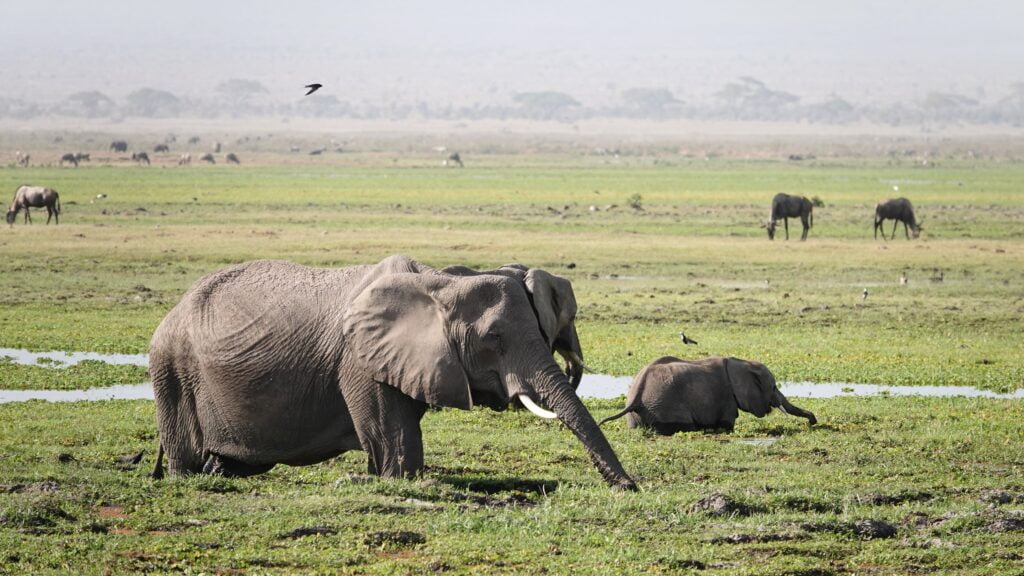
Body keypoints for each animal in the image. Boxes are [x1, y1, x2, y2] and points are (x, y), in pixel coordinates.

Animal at [149, 255, 634, 487]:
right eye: (493, 339)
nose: (630, 486)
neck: (440, 282)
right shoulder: (358, 361)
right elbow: (392, 440)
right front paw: (391, 480)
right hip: (172, 371)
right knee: (186, 456)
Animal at [598, 352, 815, 432]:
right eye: (773, 387)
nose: (813, 422)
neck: (742, 362)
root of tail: (636, 396)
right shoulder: (726, 397)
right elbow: (727, 423)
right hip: (665, 406)